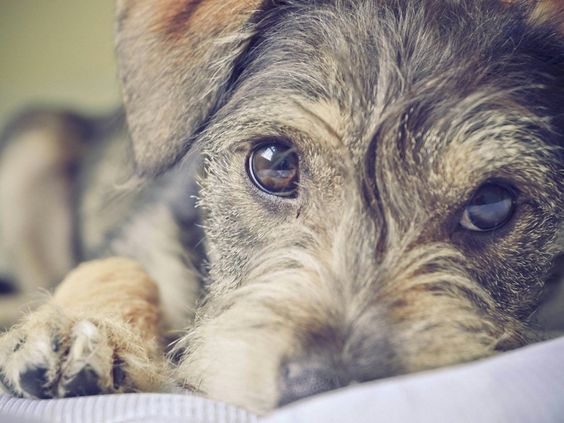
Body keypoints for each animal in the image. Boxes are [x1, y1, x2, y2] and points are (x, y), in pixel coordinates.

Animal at [1, 0, 564, 416]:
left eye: (490, 204)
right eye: (274, 164)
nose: (327, 389)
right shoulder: (148, 232)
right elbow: (116, 265)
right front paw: (85, 330)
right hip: (32, 143)